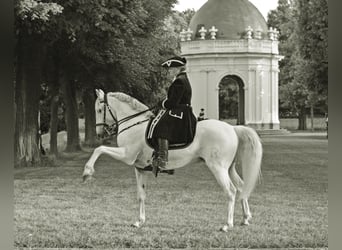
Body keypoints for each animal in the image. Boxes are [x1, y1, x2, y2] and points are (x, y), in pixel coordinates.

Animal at [82, 89, 262, 231]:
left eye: (99, 109)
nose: (100, 133)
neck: (134, 124)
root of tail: (231, 128)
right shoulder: (139, 168)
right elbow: (141, 195)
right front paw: (139, 222)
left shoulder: (127, 155)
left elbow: (100, 149)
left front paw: (87, 172)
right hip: (228, 168)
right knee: (241, 187)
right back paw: (245, 218)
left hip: (218, 168)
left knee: (231, 191)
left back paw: (227, 224)